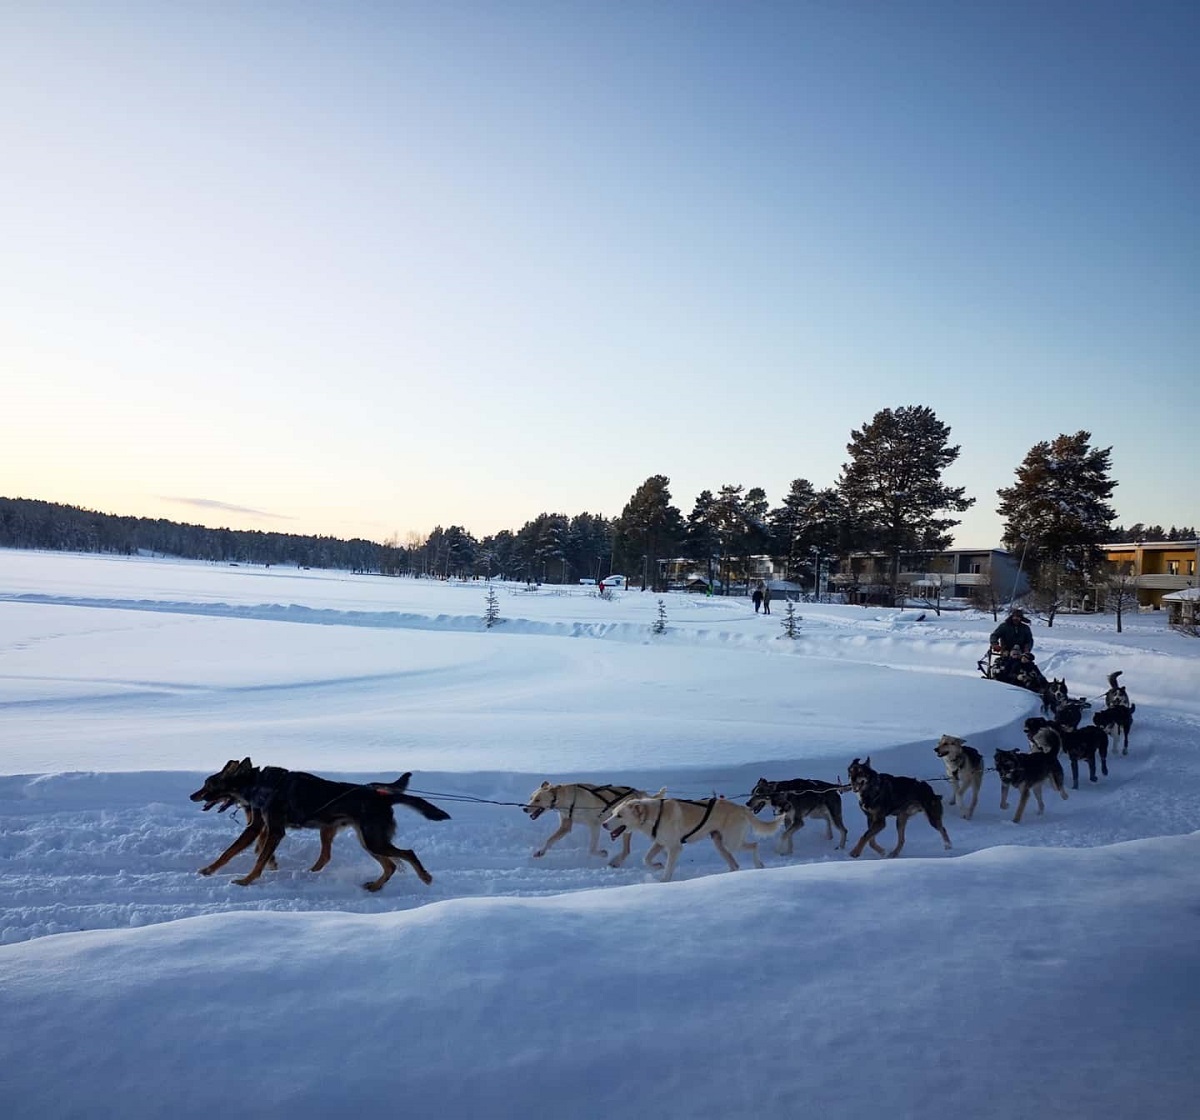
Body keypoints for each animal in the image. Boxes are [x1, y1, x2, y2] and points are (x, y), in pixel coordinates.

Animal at [189, 758, 451, 893]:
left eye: (208, 783)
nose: (192, 796)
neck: (258, 783)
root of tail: (382, 796)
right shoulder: (262, 829)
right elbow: (239, 853)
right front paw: (211, 871)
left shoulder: (272, 830)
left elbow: (251, 858)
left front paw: (245, 881)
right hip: (367, 840)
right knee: (390, 865)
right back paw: (375, 886)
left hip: (372, 840)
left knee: (408, 854)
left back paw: (425, 877)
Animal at [604, 792, 782, 878]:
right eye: (612, 813)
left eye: (619, 815)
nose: (604, 824)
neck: (652, 814)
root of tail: (742, 808)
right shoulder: (660, 843)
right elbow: (646, 858)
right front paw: (657, 866)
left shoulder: (674, 847)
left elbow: (668, 868)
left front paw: (663, 879)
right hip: (719, 843)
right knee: (735, 865)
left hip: (732, 843)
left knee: (755, 845)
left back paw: (759, 865)